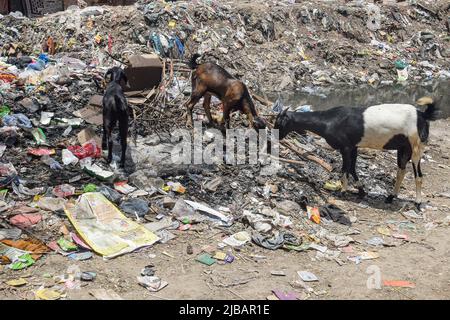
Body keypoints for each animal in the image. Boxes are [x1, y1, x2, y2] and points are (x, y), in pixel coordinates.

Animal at [274, 97, 440, 206]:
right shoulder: (353, 147)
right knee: (401, 171)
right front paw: (361, 191)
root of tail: (422, 115)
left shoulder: (346, 147)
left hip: (417, 145)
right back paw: (391, 197)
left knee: (418, 174)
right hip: (403, 148)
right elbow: (353, 169)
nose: (276, 136)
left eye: (279, 122)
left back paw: (417, 202)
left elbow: (345, 170)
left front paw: (342, 192)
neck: (329, 120)